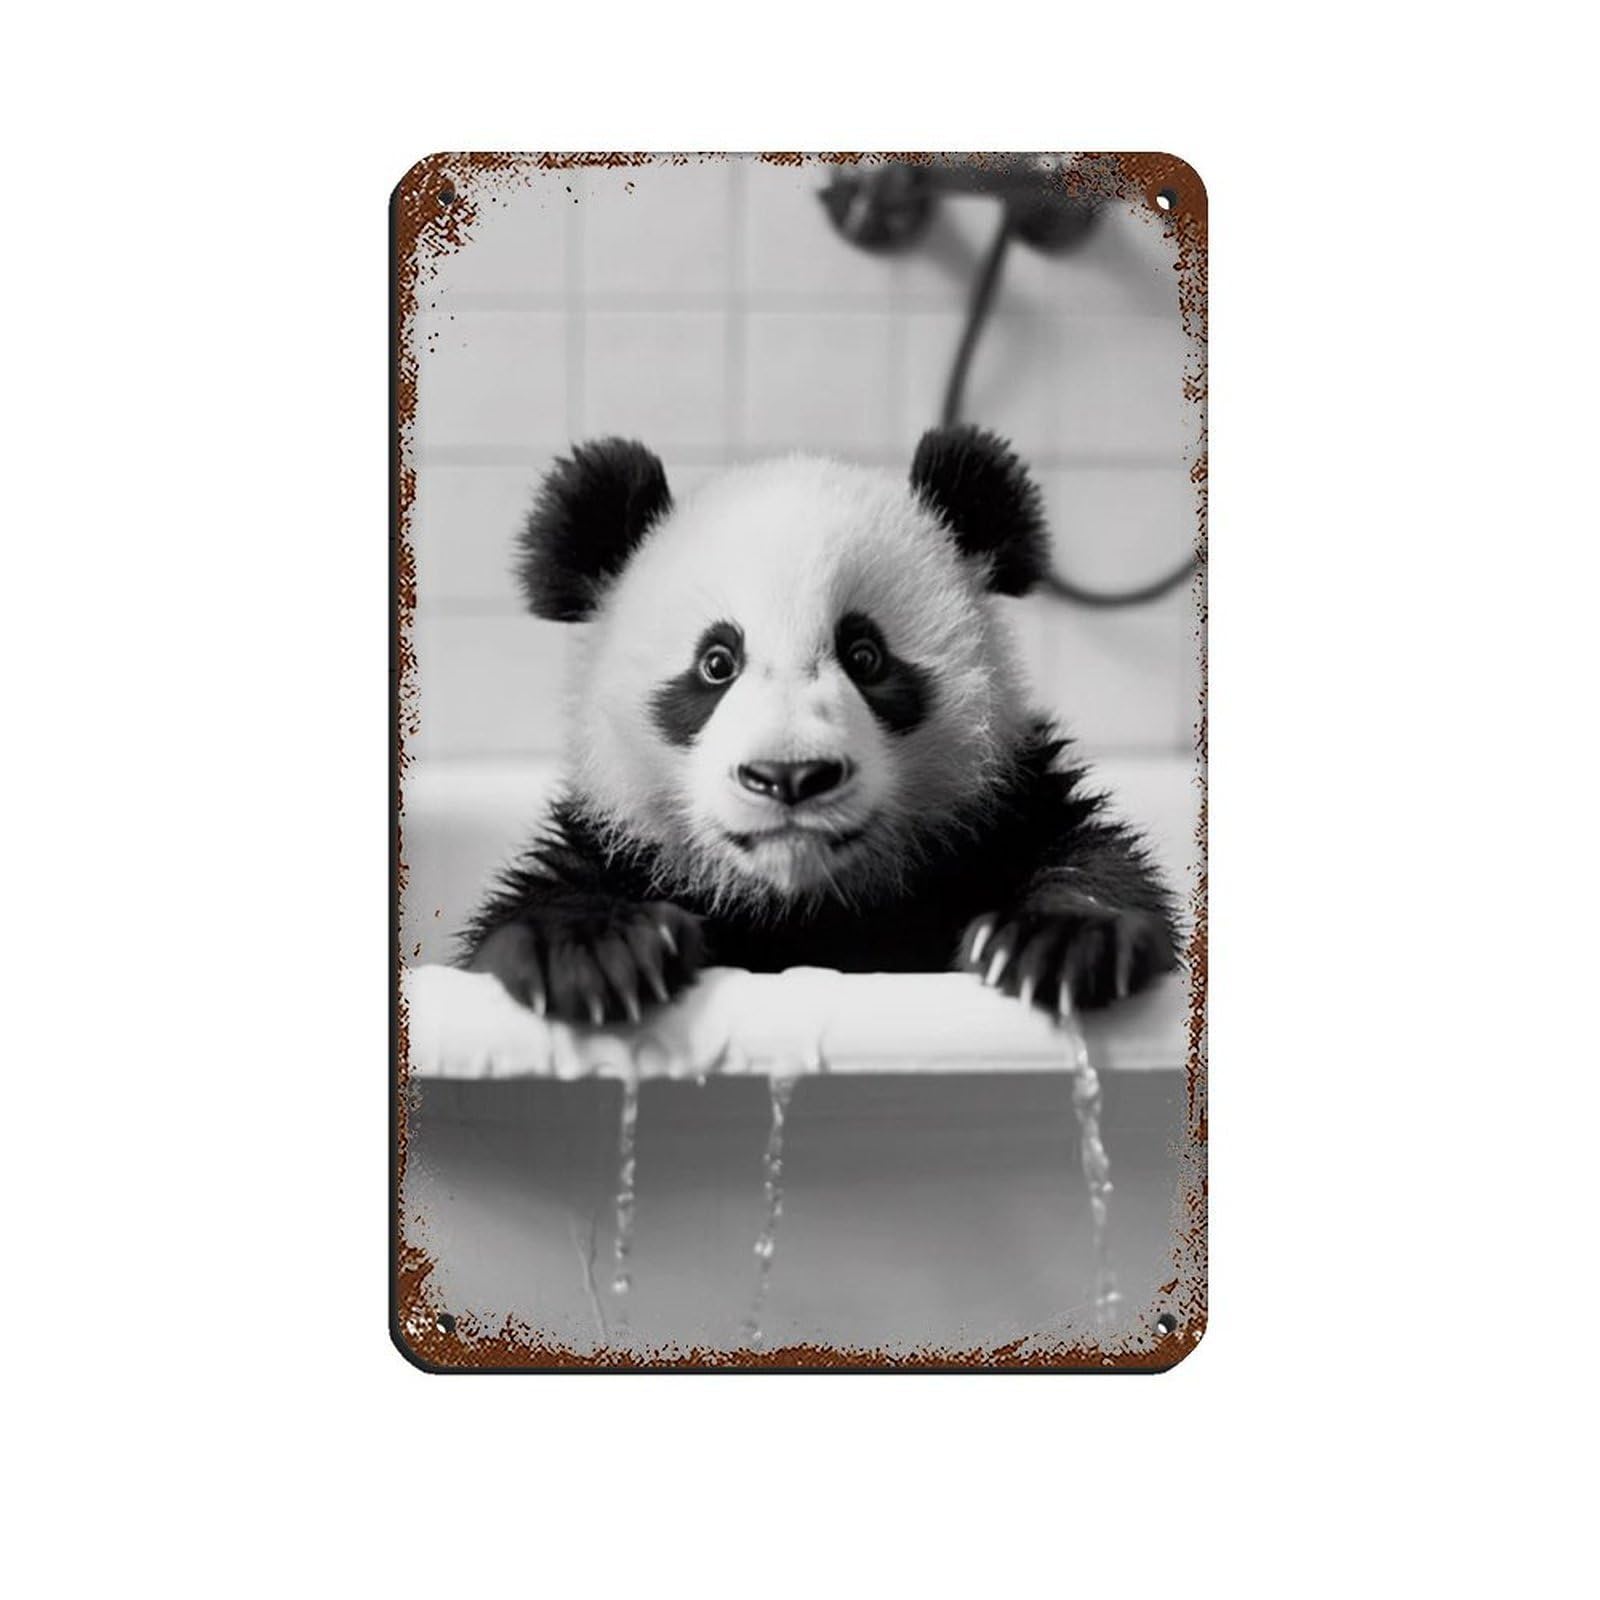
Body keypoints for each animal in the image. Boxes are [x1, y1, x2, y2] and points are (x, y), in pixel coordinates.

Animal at [461, 425, 1180, 1026]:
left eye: (865, 656)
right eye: (716, 663)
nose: (790, 775)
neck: (806, 905)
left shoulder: (1003, 814)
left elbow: (1094, 863)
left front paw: (1059, 943)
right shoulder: (619, 848)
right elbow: (542, 905)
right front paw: (591, 951)